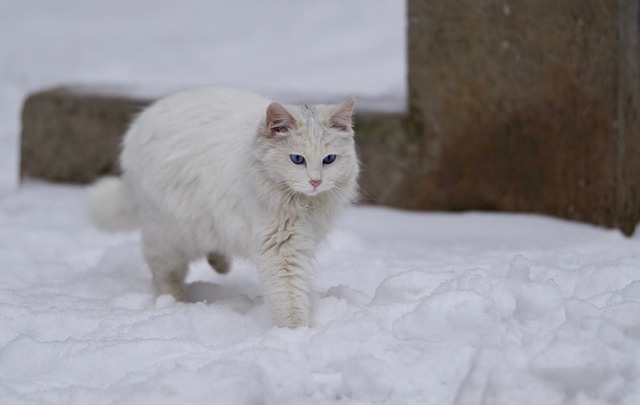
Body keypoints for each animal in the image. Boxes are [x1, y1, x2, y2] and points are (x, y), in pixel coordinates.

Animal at [87, 87, 360, 326]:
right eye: (297, 159)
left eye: (329, 160)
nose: (316, 181)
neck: (305, 204)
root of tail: (140, 124)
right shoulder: (281, 248)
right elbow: (288, 295)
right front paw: (294, 333)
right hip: (168, 236)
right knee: (162, 272)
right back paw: (173, 303)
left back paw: (219, 265)